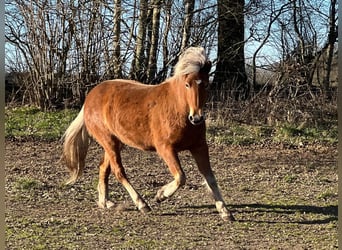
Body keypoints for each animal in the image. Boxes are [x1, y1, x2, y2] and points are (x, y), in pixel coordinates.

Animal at [60, 47, 234, 221]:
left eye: (206, 85)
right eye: (187, 84)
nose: (196, 118)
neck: (178, 109)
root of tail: (90, 97)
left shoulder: (199, 147)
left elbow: (210, 178)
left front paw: (225, 212)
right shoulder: (165, 148)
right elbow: (180, 177)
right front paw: (160, 195)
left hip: (116, 142)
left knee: (104, 168)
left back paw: (105, 203)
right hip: (109, 141)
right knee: (119, 171)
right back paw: (142, 204)